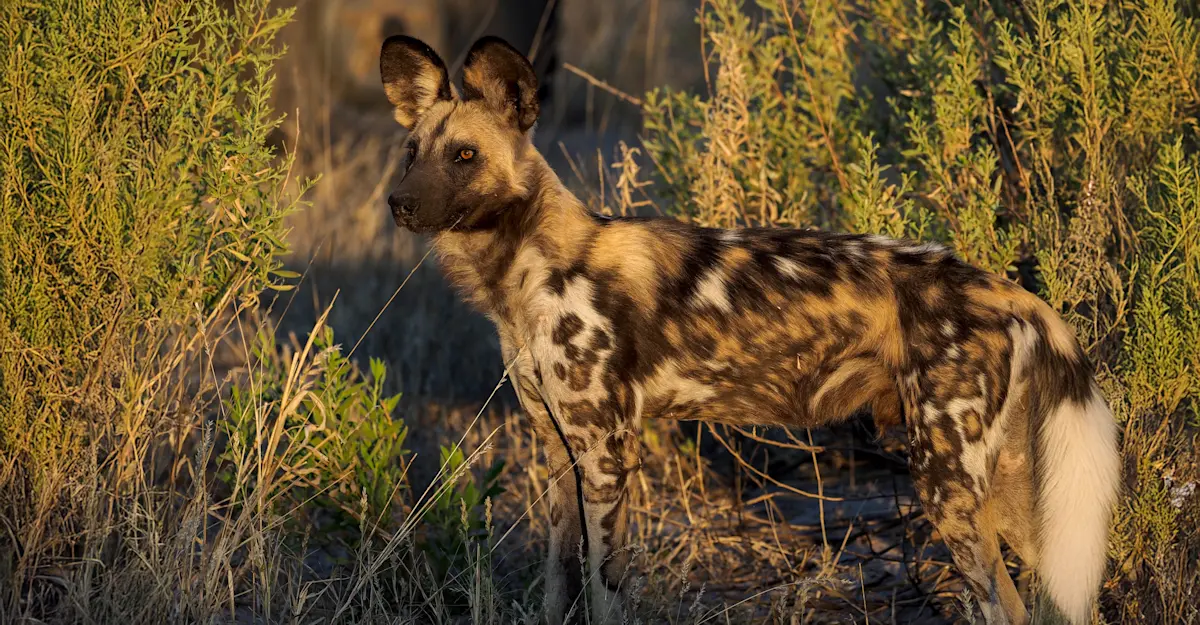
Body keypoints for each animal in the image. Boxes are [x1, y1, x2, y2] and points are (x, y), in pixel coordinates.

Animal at [377, 34, 1121, 625]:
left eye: (465, 156)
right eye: (410, 152)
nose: (399, 203)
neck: (525, 270)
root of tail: (1011, 290)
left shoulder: (607, 458)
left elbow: (605, 592)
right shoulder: (562, 458)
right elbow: (559, 587)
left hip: (948, 489)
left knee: (1003, 606)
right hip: (1012, 499)